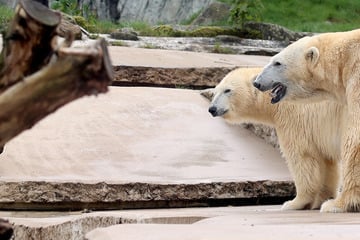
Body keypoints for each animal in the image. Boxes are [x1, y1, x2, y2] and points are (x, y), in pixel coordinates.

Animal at [201, 67, 344, 210]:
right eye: (215, 92)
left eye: (227, 90)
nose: (212, 109)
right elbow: (327, 162)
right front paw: (322, 199)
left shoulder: (295, 118)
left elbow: (302, 157)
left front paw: (294, 203)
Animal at [253, 29, 360, 213]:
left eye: (277, 63)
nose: (257, 82)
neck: (342, 60)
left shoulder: (357, 78)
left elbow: (354, 138)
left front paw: (336, 204)